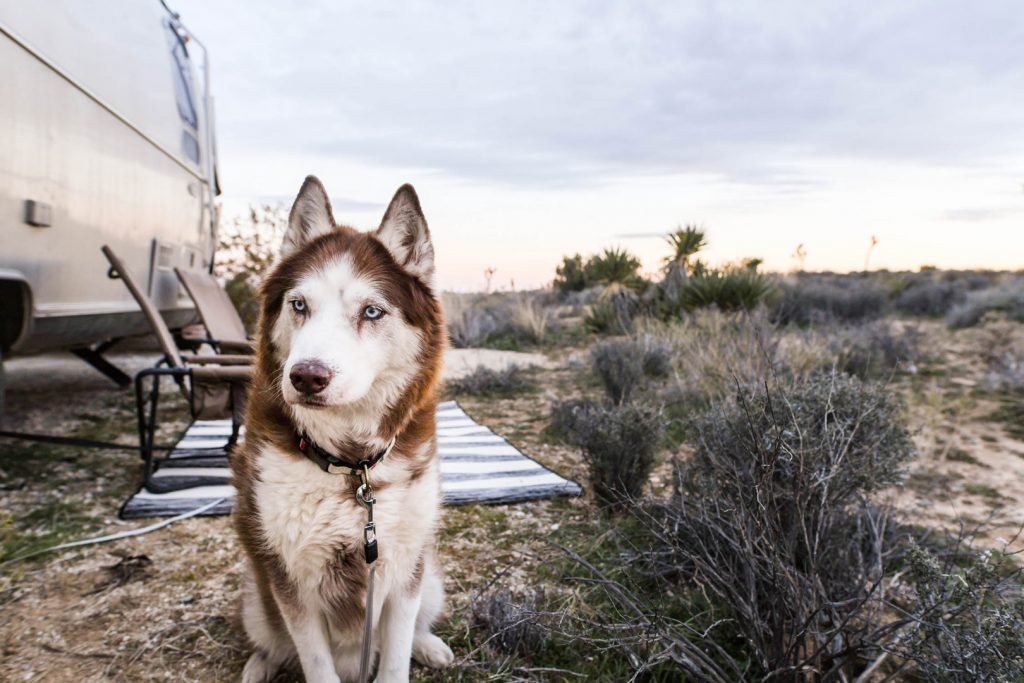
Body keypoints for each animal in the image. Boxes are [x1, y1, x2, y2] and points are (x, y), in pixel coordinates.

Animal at [237, 178, 454, 683]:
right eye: (299, 305)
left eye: (371, 312)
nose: (306, 377)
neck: (352, 467)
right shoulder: (290, 581)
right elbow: (314, 662)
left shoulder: (405, 568)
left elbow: (395, 656)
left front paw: (411, 652)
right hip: (256, 598)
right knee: (271, 641)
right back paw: (258, 665)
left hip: (431, 577)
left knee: (419, 625)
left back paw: (430, 645)